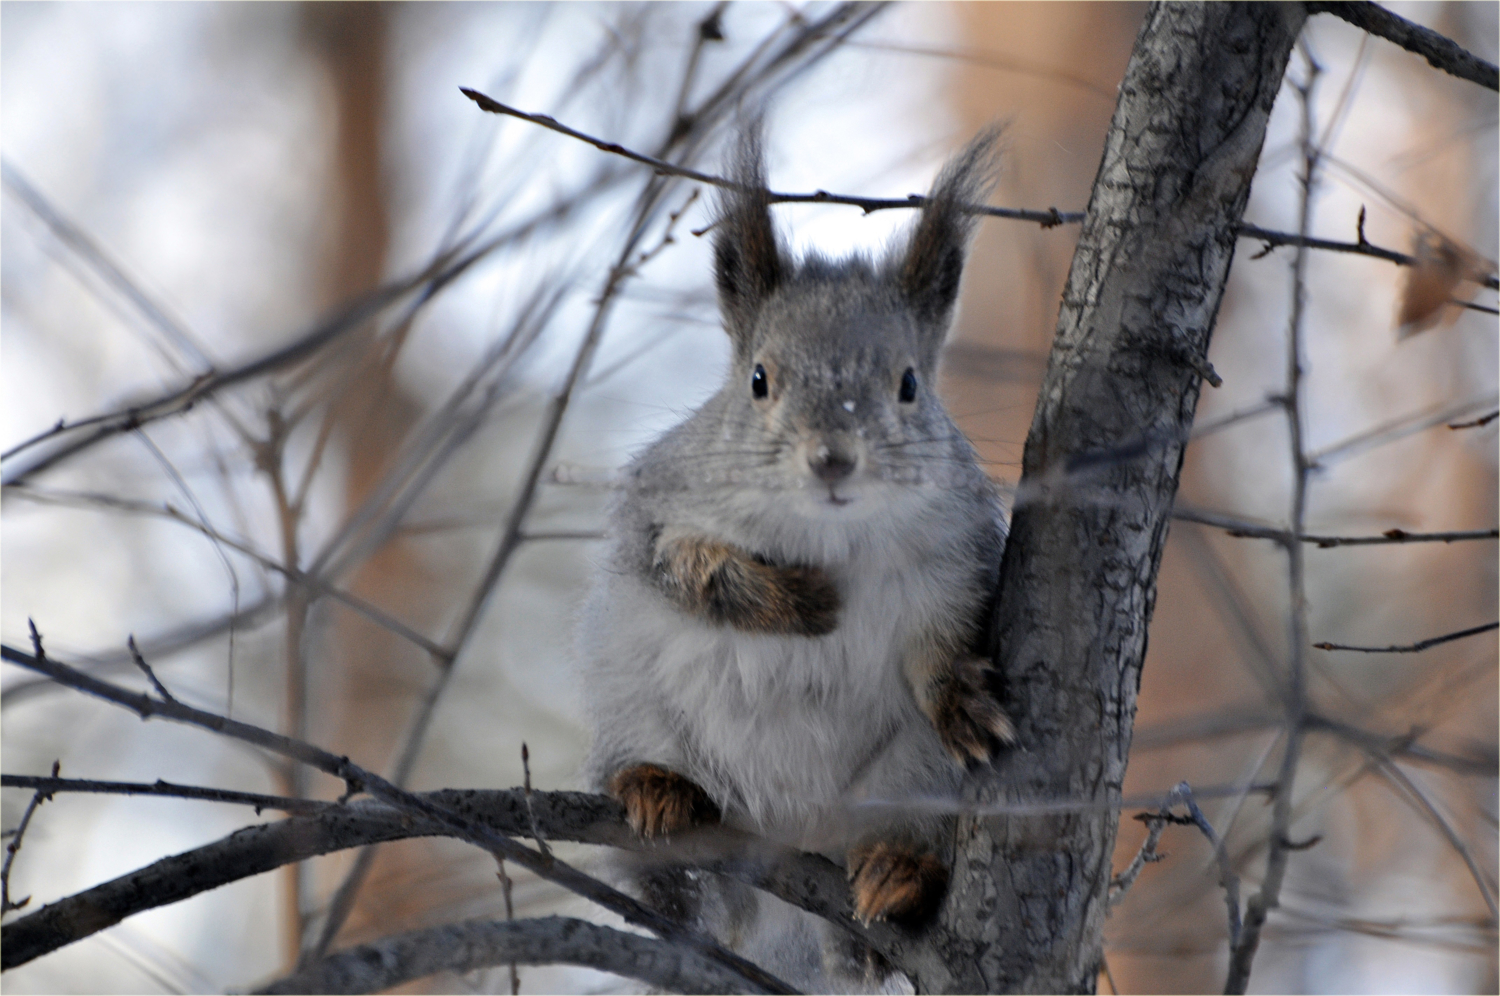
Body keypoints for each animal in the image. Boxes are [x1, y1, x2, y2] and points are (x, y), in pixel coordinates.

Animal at [579, 126, 1014, 990]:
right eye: (758, 379)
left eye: (909, 384)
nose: (833, 460)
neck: (827, 534)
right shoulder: (660, 509)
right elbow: (687, 570)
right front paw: (795, 603)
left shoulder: (958, 560)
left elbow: (946, 643)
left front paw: (960, 699)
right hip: (633, 702)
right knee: (675, 879)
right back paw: (658, 792)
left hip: (913, 783)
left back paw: (896, 878)